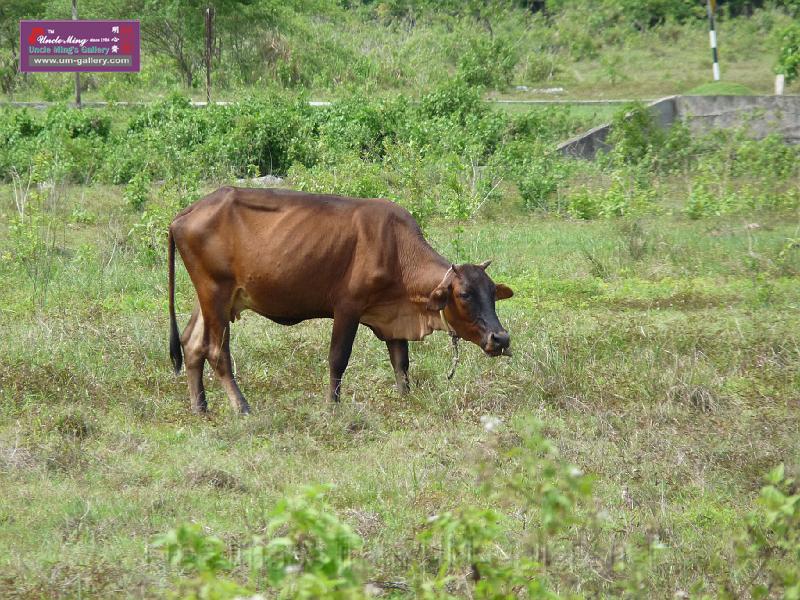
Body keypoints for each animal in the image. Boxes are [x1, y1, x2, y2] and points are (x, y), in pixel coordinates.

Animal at [168, 188, 512, 412]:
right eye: (464, 294)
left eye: (493, 294)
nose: (501, 338)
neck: (396, 249)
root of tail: (185, 214)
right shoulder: (347, 308)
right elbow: (338, 358)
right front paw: (332, 406)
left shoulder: (392, 315)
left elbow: (401, 361)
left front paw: (405, 398)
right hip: (216, 291)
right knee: (216, 351)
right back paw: (242, 407)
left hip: (213, 299)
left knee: (192, 344)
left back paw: (200, 407)